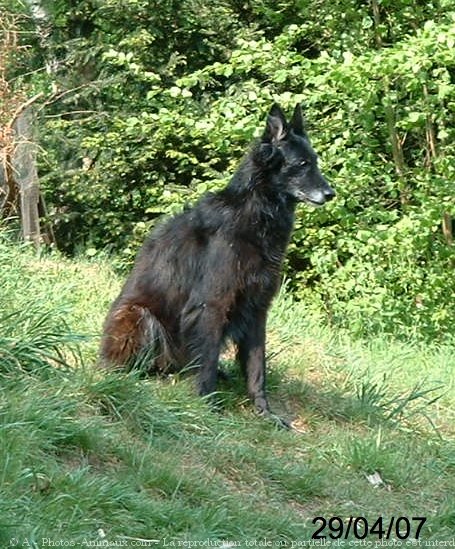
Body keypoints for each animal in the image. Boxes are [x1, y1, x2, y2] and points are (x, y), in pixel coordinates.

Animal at [100, 103, 334, 424]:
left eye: (315, 162)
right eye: (302, 164)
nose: (331, 194)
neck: (256, 213)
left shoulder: (257, 308)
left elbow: (257, 368)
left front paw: (264, 412)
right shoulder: (211, 305)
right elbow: (208, 362)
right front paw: (207, 406)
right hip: (138, 315)